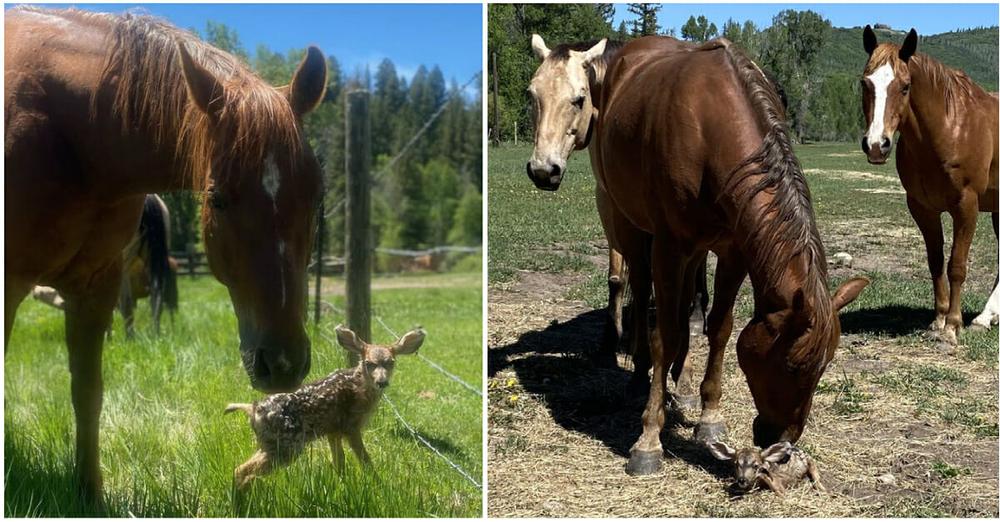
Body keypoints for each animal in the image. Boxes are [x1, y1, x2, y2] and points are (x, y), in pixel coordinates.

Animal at [7, 6, 328, 498]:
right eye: (216, 198)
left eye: (316, 196)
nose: (283, 364)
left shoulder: (97, 285)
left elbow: (88, 393)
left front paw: (90, 494)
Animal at [524, 34, 712, 400]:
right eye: (532, 94)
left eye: (579, 99)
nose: (543, 171)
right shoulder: (609, 201)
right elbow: (620, 278)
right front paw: (612, 340)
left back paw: (697, 317)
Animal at [860, 25, 1000, 346]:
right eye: (865, 83)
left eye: (905, 86)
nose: (876, 145)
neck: (949, 128)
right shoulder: (922, 208)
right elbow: (935, 261)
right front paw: (938, 320)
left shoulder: (966, 205)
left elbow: (957, 265)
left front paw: (953, 326)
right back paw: (986, 317)